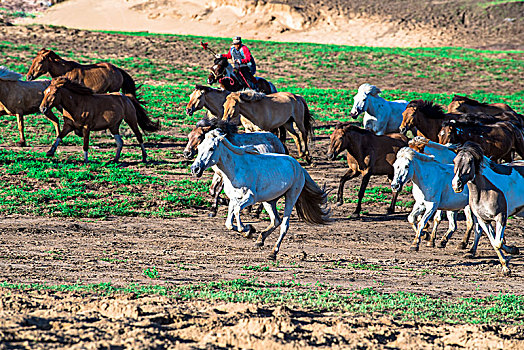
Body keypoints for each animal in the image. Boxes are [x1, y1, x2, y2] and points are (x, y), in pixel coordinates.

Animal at [192, 130, 330, 258]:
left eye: (211, 148)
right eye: (199, 148)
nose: (195, 169)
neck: (235, 169)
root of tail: (299, 167)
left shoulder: (250, 198)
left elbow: (237, 211)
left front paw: (247, 229)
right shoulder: (233, 199)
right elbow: (229, 224)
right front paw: (250, 231)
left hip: (291, 197)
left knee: (284, 225)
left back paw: (273, 252)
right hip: (269, 201)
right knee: (276, 220)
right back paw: (260, 240)